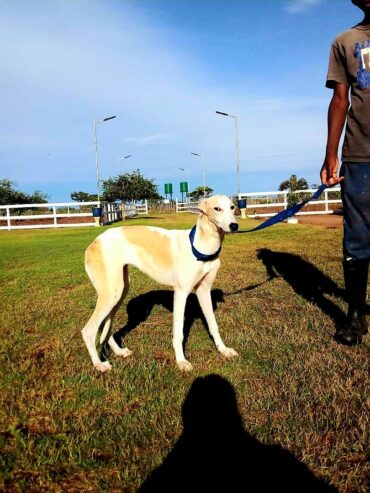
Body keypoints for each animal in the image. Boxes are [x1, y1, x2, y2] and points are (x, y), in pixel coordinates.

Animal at [81, 194, 240, 370]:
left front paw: (223, 350)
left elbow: (213, 325)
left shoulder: (203, 291)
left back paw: (119, 352)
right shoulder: (181, 293)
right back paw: (99, 364)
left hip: (120, 290)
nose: (234, 225)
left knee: (106, 327)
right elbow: (178, 332)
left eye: (232, 207)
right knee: (88, 331)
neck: (202, 246)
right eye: (217, 208)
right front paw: (181, 361)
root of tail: (95, 241)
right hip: (111, 294)